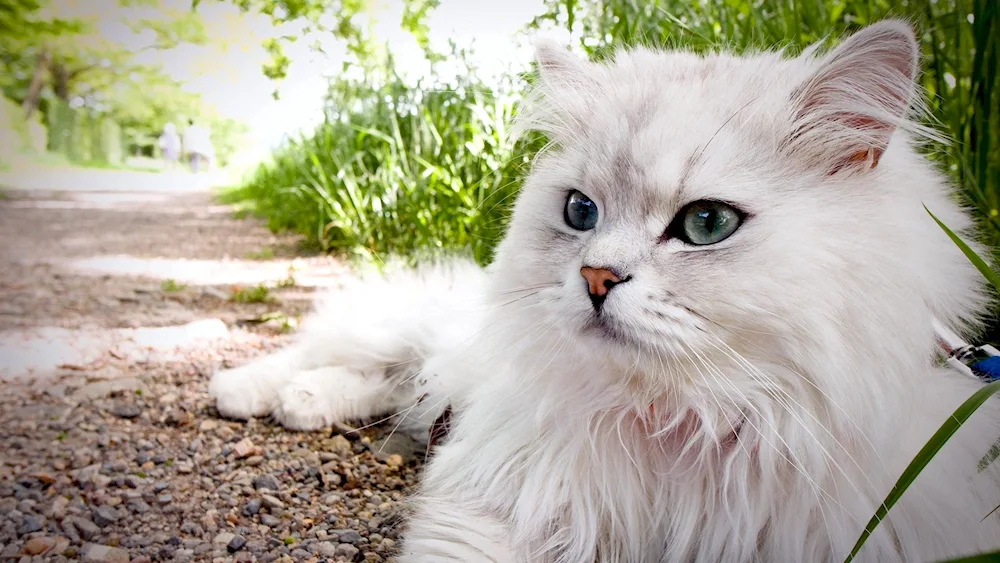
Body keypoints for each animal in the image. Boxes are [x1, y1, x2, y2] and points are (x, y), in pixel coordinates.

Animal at [211, 19, 1000, 563]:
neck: (686, 426)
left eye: (706, 223)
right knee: (317, 352)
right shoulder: (497, 504)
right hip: (404, 332)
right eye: (579, 212)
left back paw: (301, 404)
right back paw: (241, 392)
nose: (595, 277)